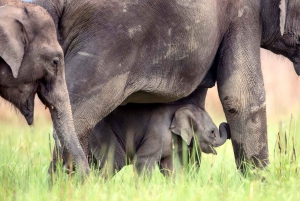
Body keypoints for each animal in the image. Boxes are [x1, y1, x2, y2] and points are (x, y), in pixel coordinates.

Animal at [89, 103, 230, 175]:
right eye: (212, 132)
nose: (226, 124)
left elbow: (169, 166)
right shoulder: (158, 135)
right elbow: (143, 161)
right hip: (101, 134)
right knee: (115, 162)